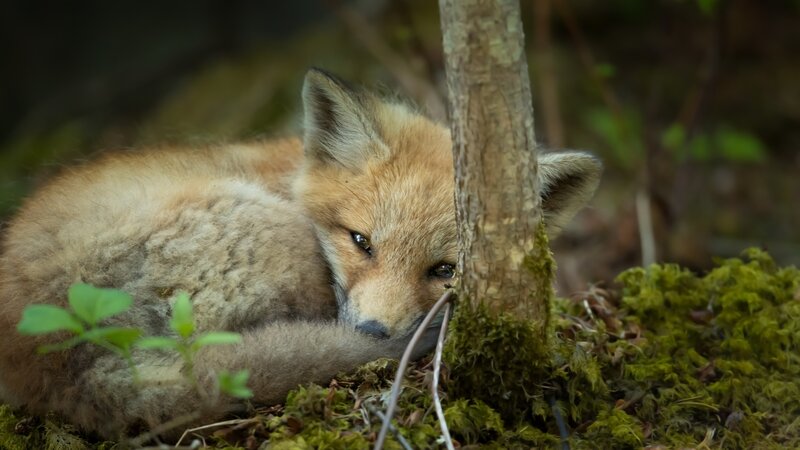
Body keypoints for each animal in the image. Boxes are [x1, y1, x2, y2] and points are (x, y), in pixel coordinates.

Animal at [0, 68, 602, 439]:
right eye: (361, 242)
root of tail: (59, 364)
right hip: (281, 247)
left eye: (444, 270)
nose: (373, 333)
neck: (288, 174)